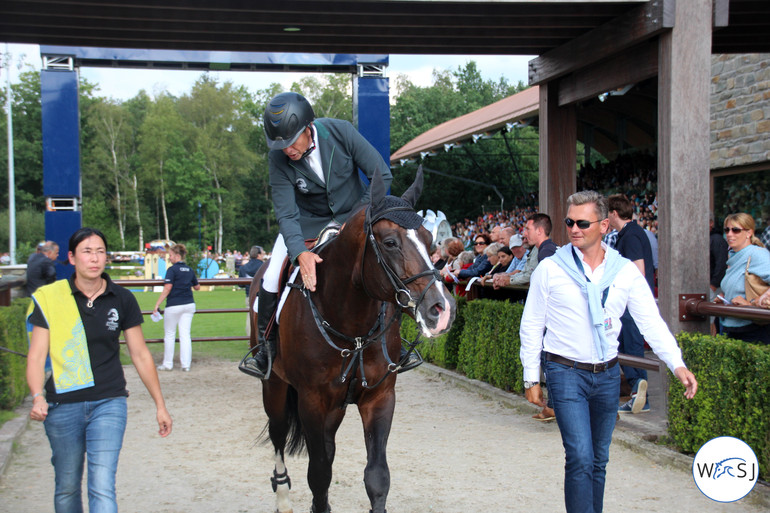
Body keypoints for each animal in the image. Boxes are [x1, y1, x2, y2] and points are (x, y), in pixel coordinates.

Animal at [246, 169, 452, 512]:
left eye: (429, 240)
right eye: (390, 242)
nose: (442, 310)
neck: (352, 325)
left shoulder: (379, 397)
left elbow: (376, 477)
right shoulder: (311, 401)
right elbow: (318, 474)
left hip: (336, 407)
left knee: (327, 448)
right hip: (274, 386)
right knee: (278, 435)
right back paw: (283, 496)